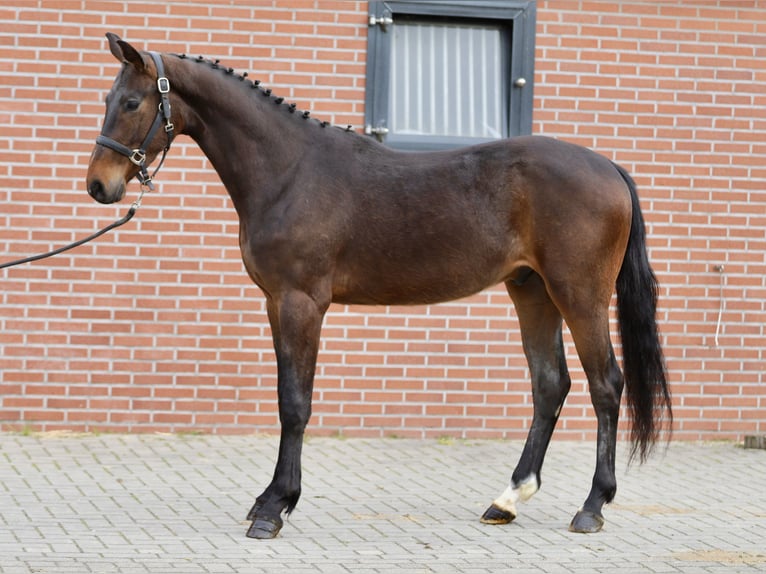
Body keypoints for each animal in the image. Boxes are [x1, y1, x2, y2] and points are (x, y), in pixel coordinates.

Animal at [86, 34, 672, 539]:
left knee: (605, 385)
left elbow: (295, 403)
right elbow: (287, 397)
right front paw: (268, 499)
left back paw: (591, 506)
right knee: (550, 385)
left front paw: (274, 508)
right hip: (532, 292)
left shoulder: (301, 303)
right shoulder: (276, 303)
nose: (99, 185)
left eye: (133, 102)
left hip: (580, 295)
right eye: (108, 98)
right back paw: (507, 500)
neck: (289, 171)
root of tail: (610, 168)